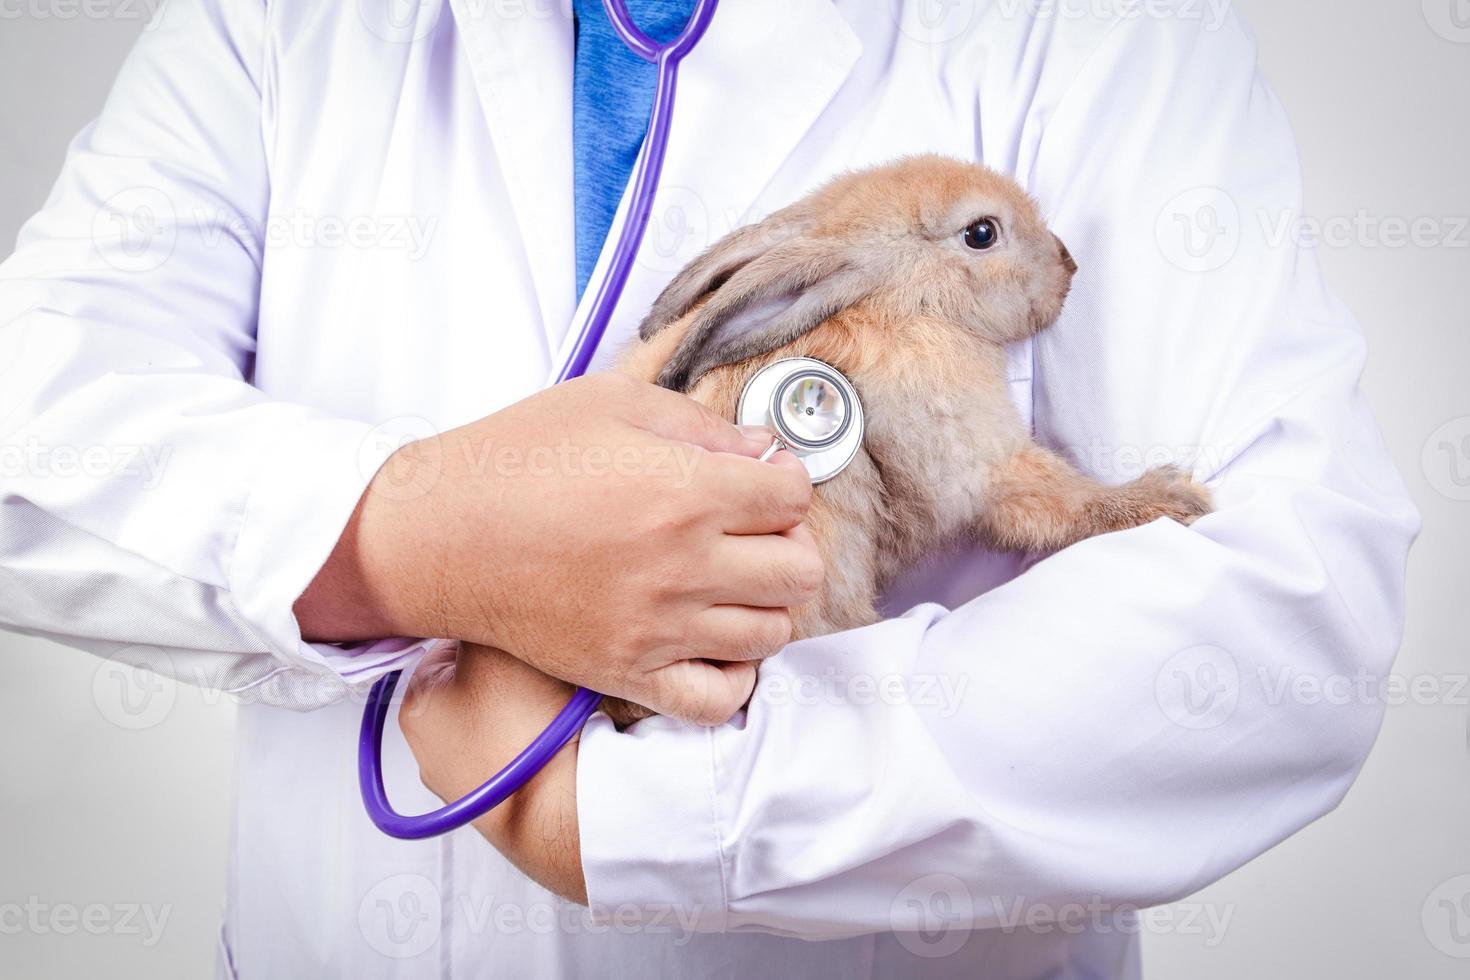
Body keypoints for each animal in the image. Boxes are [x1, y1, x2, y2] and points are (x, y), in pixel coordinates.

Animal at [602, 155, 1211, 728]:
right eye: (982, 233)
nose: (1069, 262)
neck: (904, 299)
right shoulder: (981, 462)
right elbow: (1058, 500)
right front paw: (1172, 498)